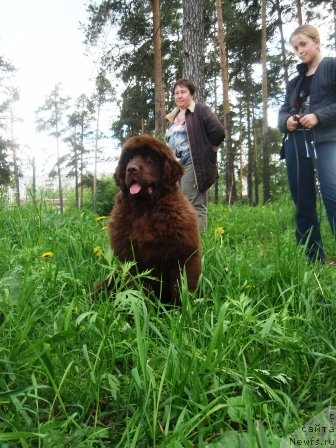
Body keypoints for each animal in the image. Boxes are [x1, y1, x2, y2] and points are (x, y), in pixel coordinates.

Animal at [109, 134, 201, 304]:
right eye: (129, 158)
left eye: (148, 158)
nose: (131, 169)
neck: (145, 210)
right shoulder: (130, 259)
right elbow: (137, 288)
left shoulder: (183, 254)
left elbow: (181, 287)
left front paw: (180, 310)